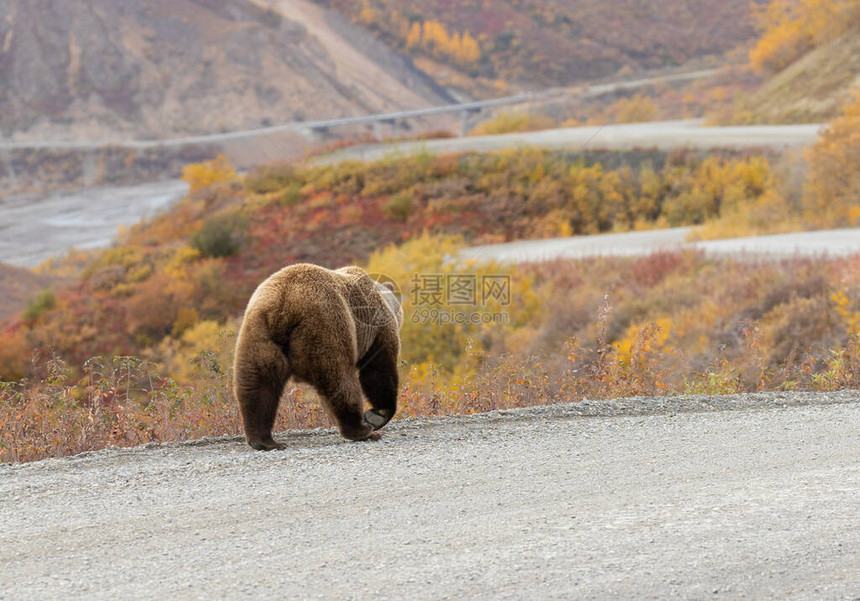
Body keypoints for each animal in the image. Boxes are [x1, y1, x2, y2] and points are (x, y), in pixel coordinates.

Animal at [230, 264, 402, 450]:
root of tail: (282, 306)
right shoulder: (377, 328)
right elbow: (378, 368)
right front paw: (378, 414)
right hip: (326, 327)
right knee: (340, 380)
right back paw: (362, 430)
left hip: (259, 336)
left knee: (259, 385)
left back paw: (263, 440)